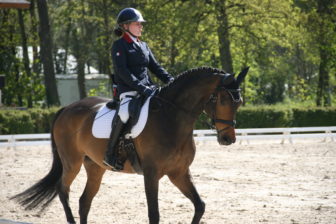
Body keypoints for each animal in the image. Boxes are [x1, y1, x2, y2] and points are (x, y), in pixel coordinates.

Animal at [12, 65, 249, 223]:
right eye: (223, 100)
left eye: (239, 102)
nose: (228, 139)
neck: (172, 118)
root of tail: (67, 108)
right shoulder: (151, 173)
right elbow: (154, 214)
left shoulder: (179, 172)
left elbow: (199, 206)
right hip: (72, 162)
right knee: (63, 190)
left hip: (95, 167)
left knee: (84, 201)